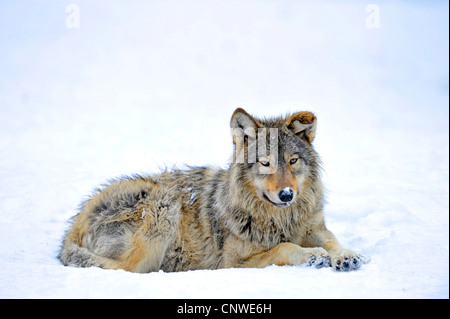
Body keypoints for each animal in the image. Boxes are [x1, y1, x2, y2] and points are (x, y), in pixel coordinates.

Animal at [59, 108, 370, 272]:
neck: (278, 219)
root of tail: (74, 224)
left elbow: (332, 241)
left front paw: (345, 255)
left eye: (293, 161)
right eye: (265, 163)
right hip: (162, 208)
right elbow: (285, 247)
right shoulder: (232, 263)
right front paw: (312, 255)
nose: (286, 195)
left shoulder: (314, 228)